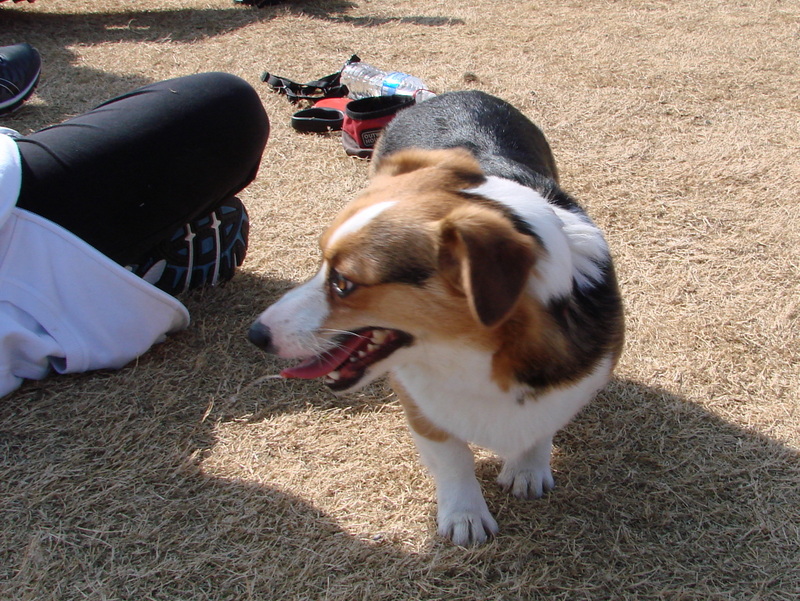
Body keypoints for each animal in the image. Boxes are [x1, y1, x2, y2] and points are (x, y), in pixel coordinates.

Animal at [247, 90, 620, 544]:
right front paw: (465, 516)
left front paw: (527, 469)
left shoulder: (573, 384)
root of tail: (452, 94)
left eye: (343, 282)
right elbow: (452, 455)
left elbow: (540, 427)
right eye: (322, 265)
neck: (473, 353)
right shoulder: (421, 405)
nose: (255, 334)